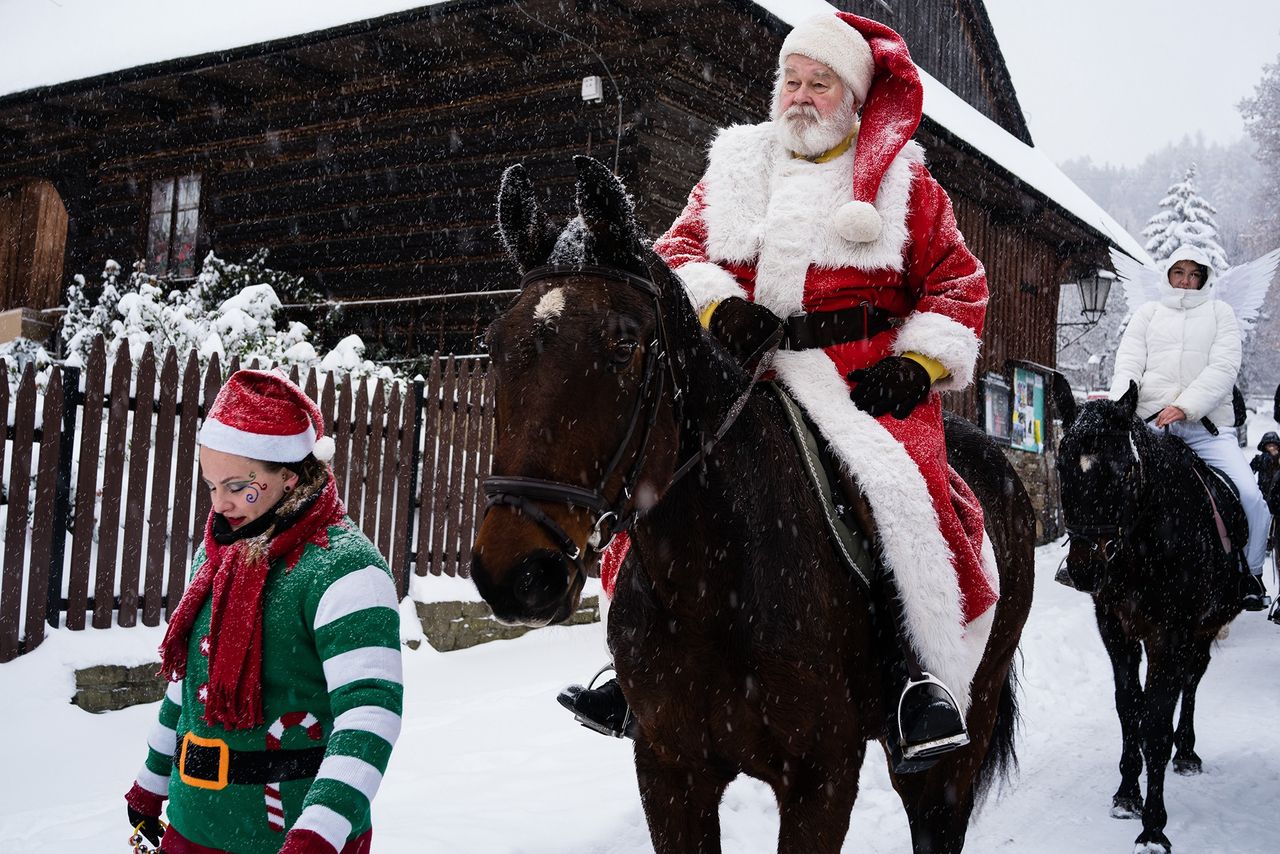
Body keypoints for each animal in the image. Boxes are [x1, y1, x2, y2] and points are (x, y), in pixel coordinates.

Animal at [471, 156, 1039, 850]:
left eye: (623, 342)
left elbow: (950, 274)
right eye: (496, 344)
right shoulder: (669, 770)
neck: (712, 581)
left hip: (963, 725)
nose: (518, 573)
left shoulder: (822, 778)